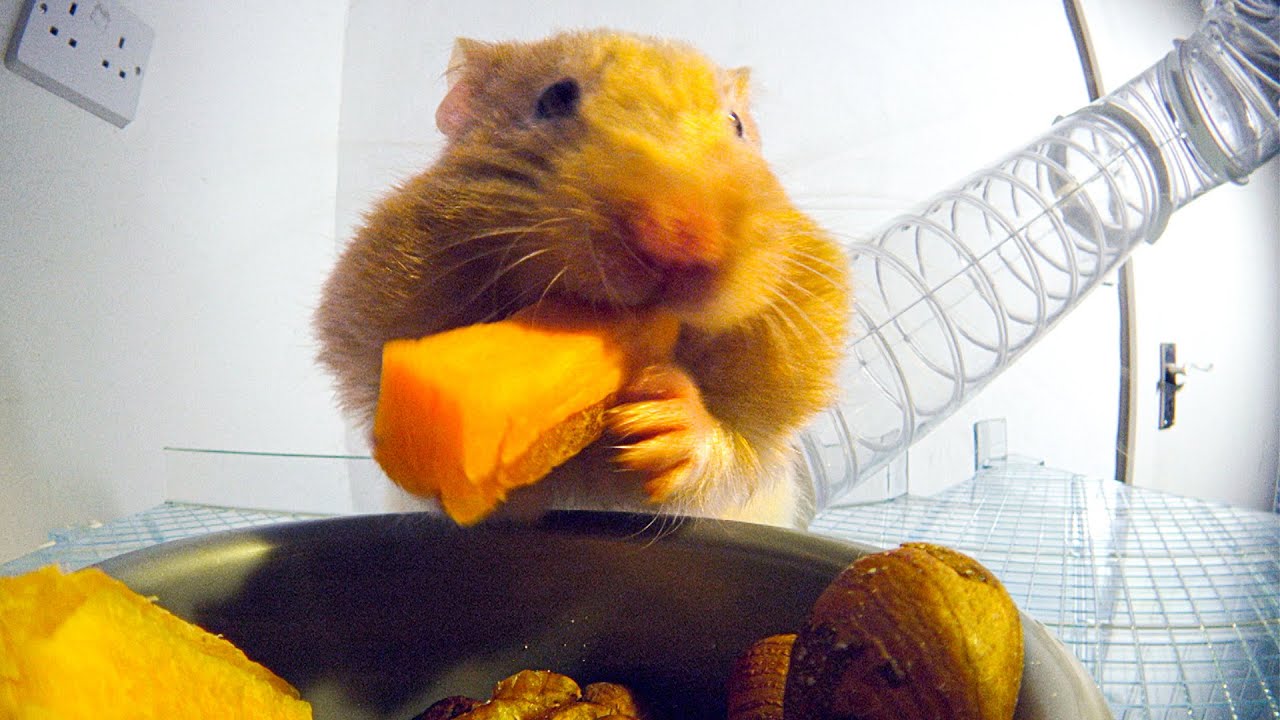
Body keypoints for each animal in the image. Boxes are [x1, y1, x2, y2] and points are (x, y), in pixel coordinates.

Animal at [314, 29, 851, 527]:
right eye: (554, 98)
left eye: (736, 125)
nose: (676, 240)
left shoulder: (765, 439)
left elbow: (723, 450)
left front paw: (657, 420)